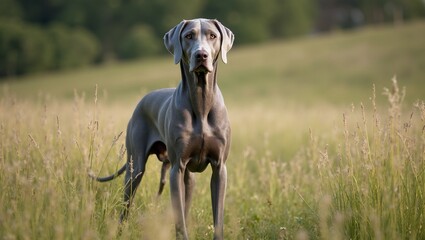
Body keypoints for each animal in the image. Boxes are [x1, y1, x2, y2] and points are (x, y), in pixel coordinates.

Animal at [92, 17, 235, 239]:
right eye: (189, 36)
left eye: (212, 35)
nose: (201, 55)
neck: (201, 102)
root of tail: (142, 101)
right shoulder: (176, 168)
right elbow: (179, 220)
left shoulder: (219, 168)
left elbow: (217, 218)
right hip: (135, 169)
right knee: (126, 206)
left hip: (188, 177)